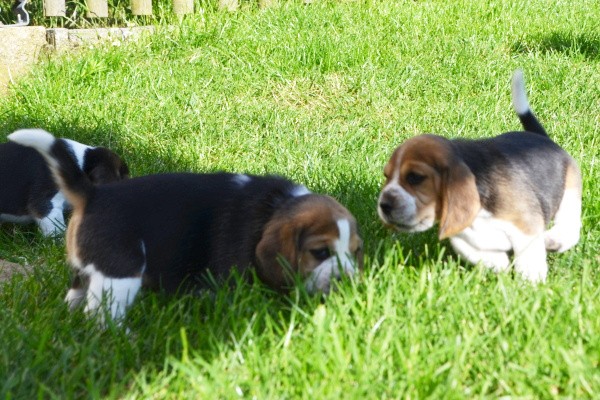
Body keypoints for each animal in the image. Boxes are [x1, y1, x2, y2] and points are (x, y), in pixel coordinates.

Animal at [8, 129, 363, 322]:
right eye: (319, 253)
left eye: (355, 252)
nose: (349, 281)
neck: (275, 206)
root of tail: (93, 195)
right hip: (119, 272)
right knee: (102, 314)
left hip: (84, 269)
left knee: (76, 296)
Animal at [377, 70, 581, 282]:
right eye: (386, 176)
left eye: (415, 177)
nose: (384, 205)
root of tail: (542, 138)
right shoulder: (461, 230)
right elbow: (469, 248)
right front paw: (497, 265)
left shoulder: (525, 224)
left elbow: (528, 255)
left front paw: (530, 281)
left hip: (569, 192)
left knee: (570, 224)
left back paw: (555, 239)